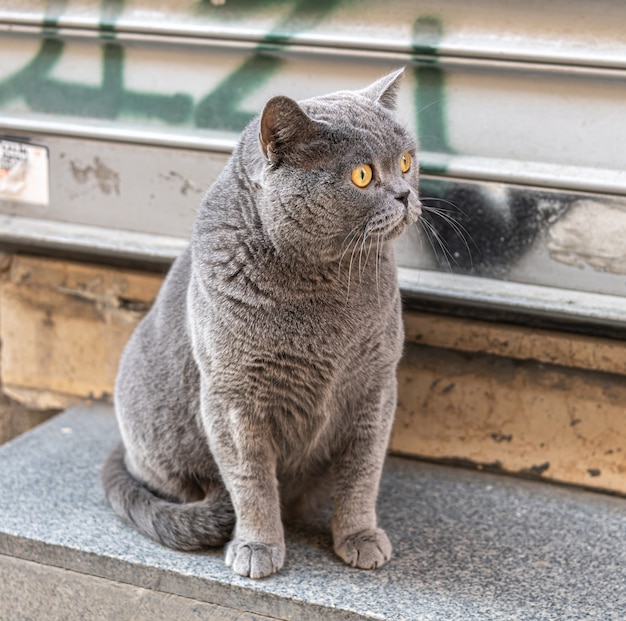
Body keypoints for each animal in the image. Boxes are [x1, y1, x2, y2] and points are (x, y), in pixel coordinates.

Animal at [102, 70, 422, 580]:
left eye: (407, 162)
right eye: (362, 175)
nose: (405, 194)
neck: (324, 286)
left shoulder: (375, 385)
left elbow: (362, 472)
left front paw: (359, 536)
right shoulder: (233, 398)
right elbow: (250, 479)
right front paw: (258, 547)